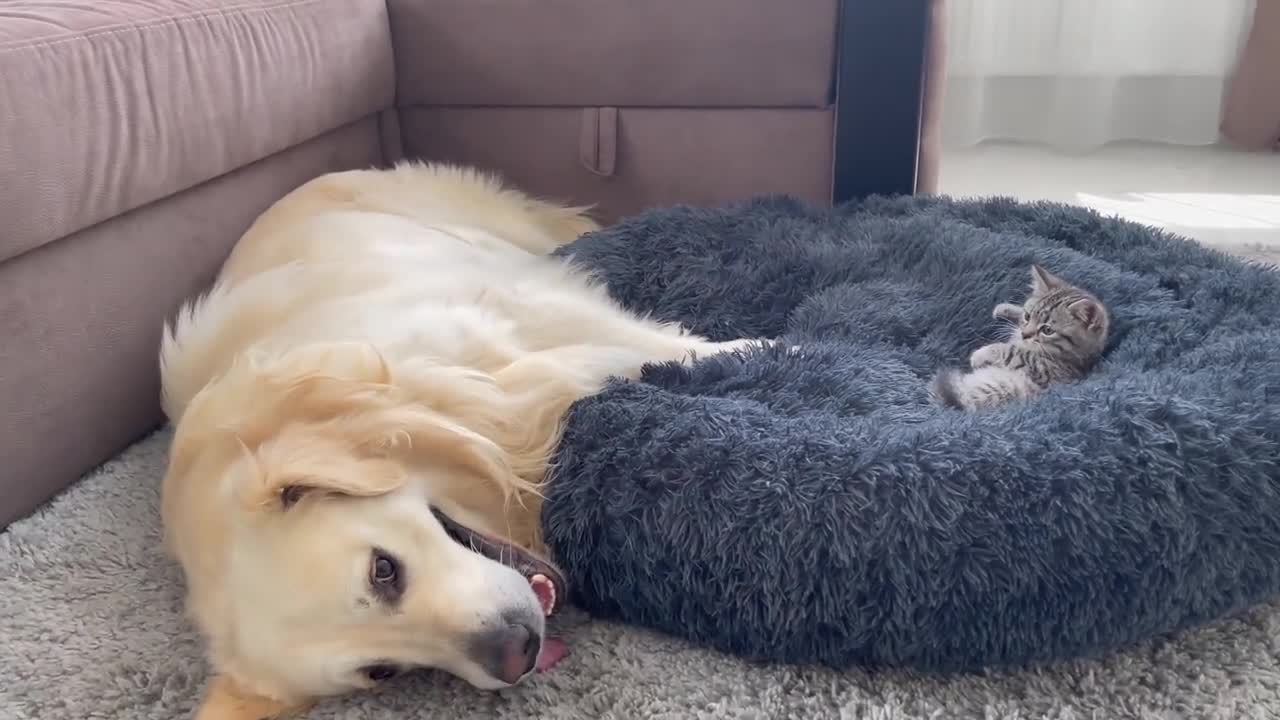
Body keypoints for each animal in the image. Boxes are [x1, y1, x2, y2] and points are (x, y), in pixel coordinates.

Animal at [156, 162, 762, 717]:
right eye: (381, 671)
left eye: (383, 570)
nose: (517, 651)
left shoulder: (522, 311)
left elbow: (668, 345)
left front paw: (768, 347)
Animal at [931, 263, 1111, 409]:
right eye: (1027, 316)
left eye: (1047, 330)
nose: (1025, 334)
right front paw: (1006, 309)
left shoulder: (1049, 371)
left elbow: (1014, 351)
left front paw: (982, 354)